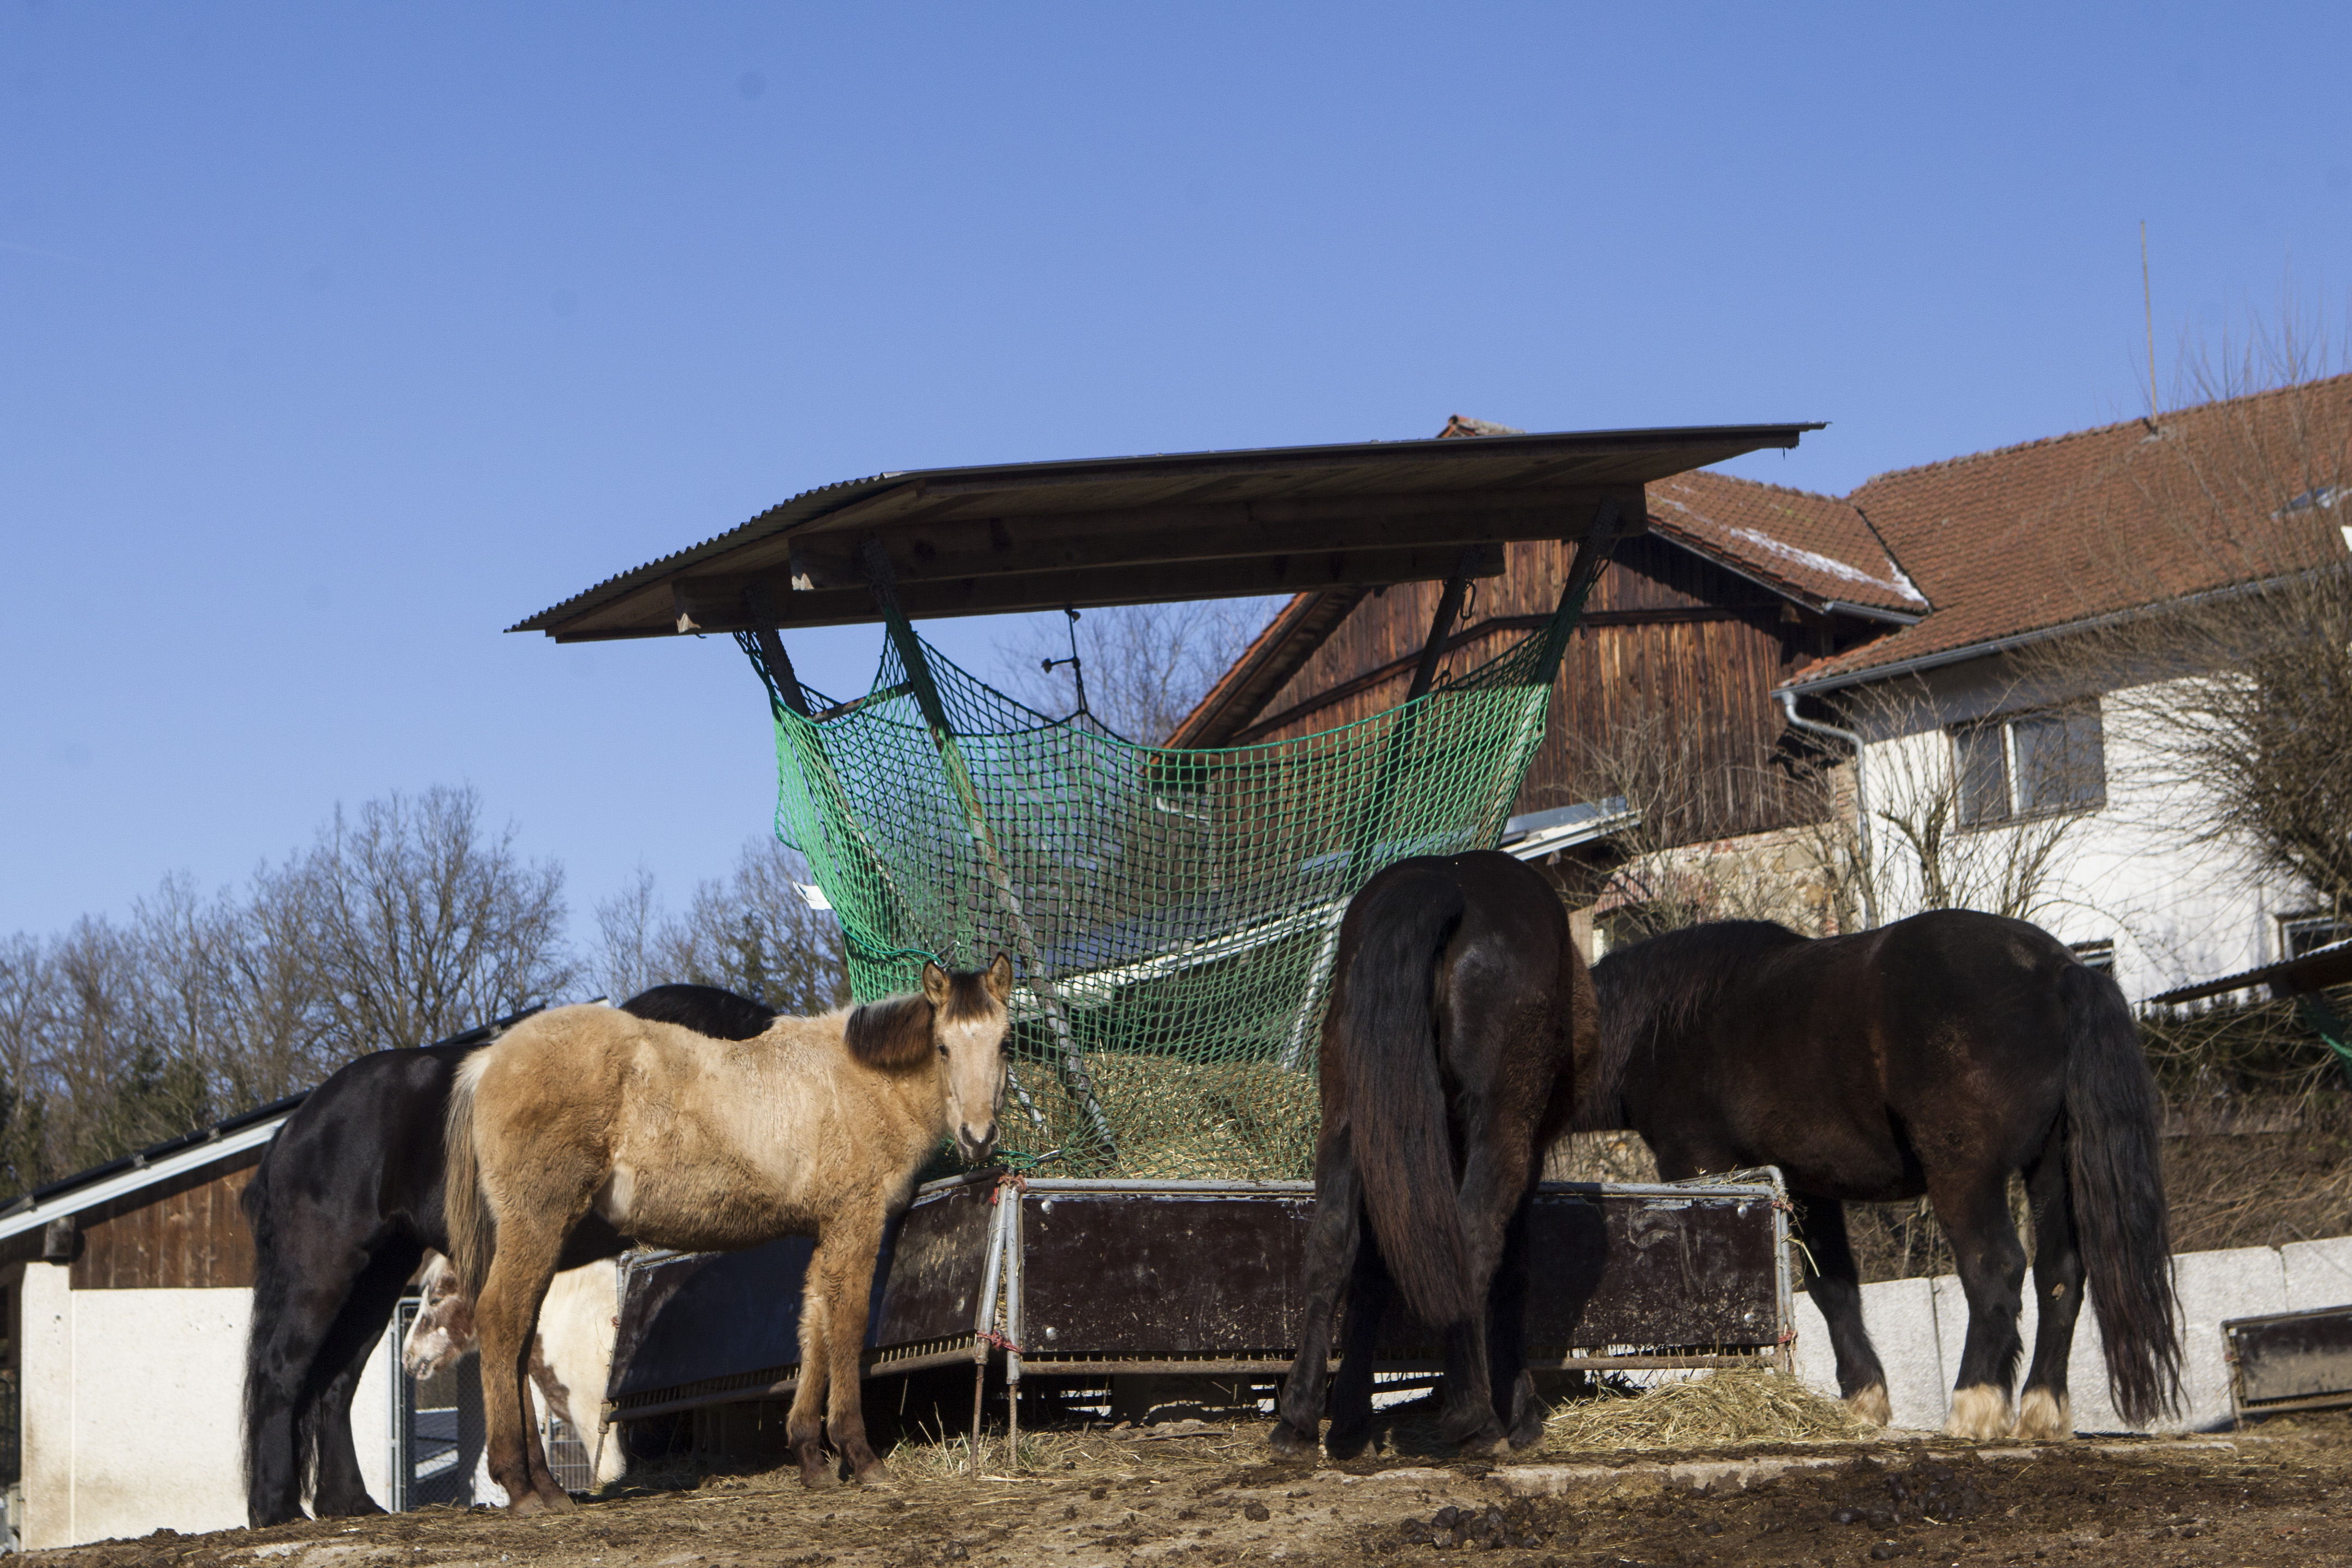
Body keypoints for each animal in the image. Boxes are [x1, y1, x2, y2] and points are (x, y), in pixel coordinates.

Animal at [443, 955, 1014, 1511]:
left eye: (1006, 1042)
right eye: (942, 1046)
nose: (979, 1136)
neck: (855, 1082)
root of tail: (488, 1061)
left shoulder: (826, 1231)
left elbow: (815, 1326)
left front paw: (811, 1457)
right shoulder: (856, 1223)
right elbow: (848, 1325)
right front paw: (859, 1454)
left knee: (519, 1335)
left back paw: (546, 1486)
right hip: (538, 1221)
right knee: (502, 1320)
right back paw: (520, 1486)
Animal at [1270, 851, 1594, 1460]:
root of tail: (1449, 877)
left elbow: (1373, 1267)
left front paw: (1350, 1419)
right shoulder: (1524, 1156)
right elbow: (1511, 1273)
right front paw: (1517, 1410)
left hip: (1352, 1117)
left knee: (1332, 1239)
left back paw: (1297, 1419)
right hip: (1499, 1128)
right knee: (1472, 1239)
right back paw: (1475, 1417)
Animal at [1587, 912, 2182, 1439]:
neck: (1662, 1024)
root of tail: (2058, 969)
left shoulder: (1703, 1170)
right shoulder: (1807, 1187)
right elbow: (1833, 1289)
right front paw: (1863, 1400)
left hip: (1964, 1172)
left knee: (1995, 1268)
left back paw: (1974, 1409)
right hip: (2051, 1169)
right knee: (2059, 1274)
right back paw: (2043, 1413)